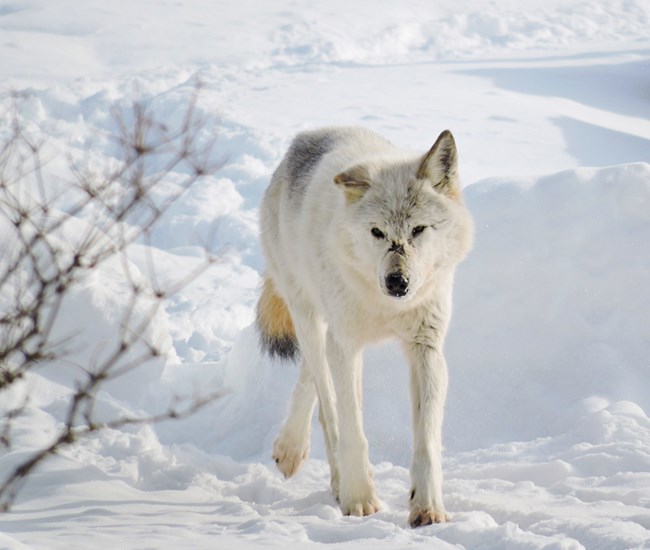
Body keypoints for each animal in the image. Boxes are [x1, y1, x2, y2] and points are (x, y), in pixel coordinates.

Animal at [256, 127, 474, 528]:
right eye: (377, 232)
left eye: (418, 230)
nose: (397, 282)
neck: (384, 306)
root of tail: (307, 136)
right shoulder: (345, 345)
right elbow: (351, 429)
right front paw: (358, 498)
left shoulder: (426, 348)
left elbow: (427, 440)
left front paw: (428, 507)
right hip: (309, 317)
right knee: (328, 408)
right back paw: (320, 468)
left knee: (310, 378)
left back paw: (290, 450)